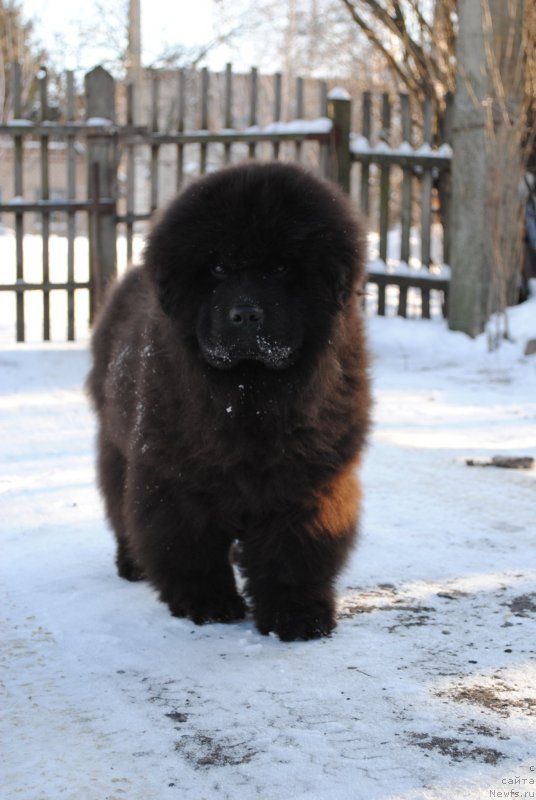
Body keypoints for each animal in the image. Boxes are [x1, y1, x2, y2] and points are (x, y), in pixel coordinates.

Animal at [89, 159, 372, 640]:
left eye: (281, 268)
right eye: (219, 269)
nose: (246, 315)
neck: (249, 396)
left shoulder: (309, 479)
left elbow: (295, 551)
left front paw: (296, 614)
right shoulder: (175, 478)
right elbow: (188, 545)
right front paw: (208, 603)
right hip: (116, 445)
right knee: (121, 509)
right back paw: (132, 564)